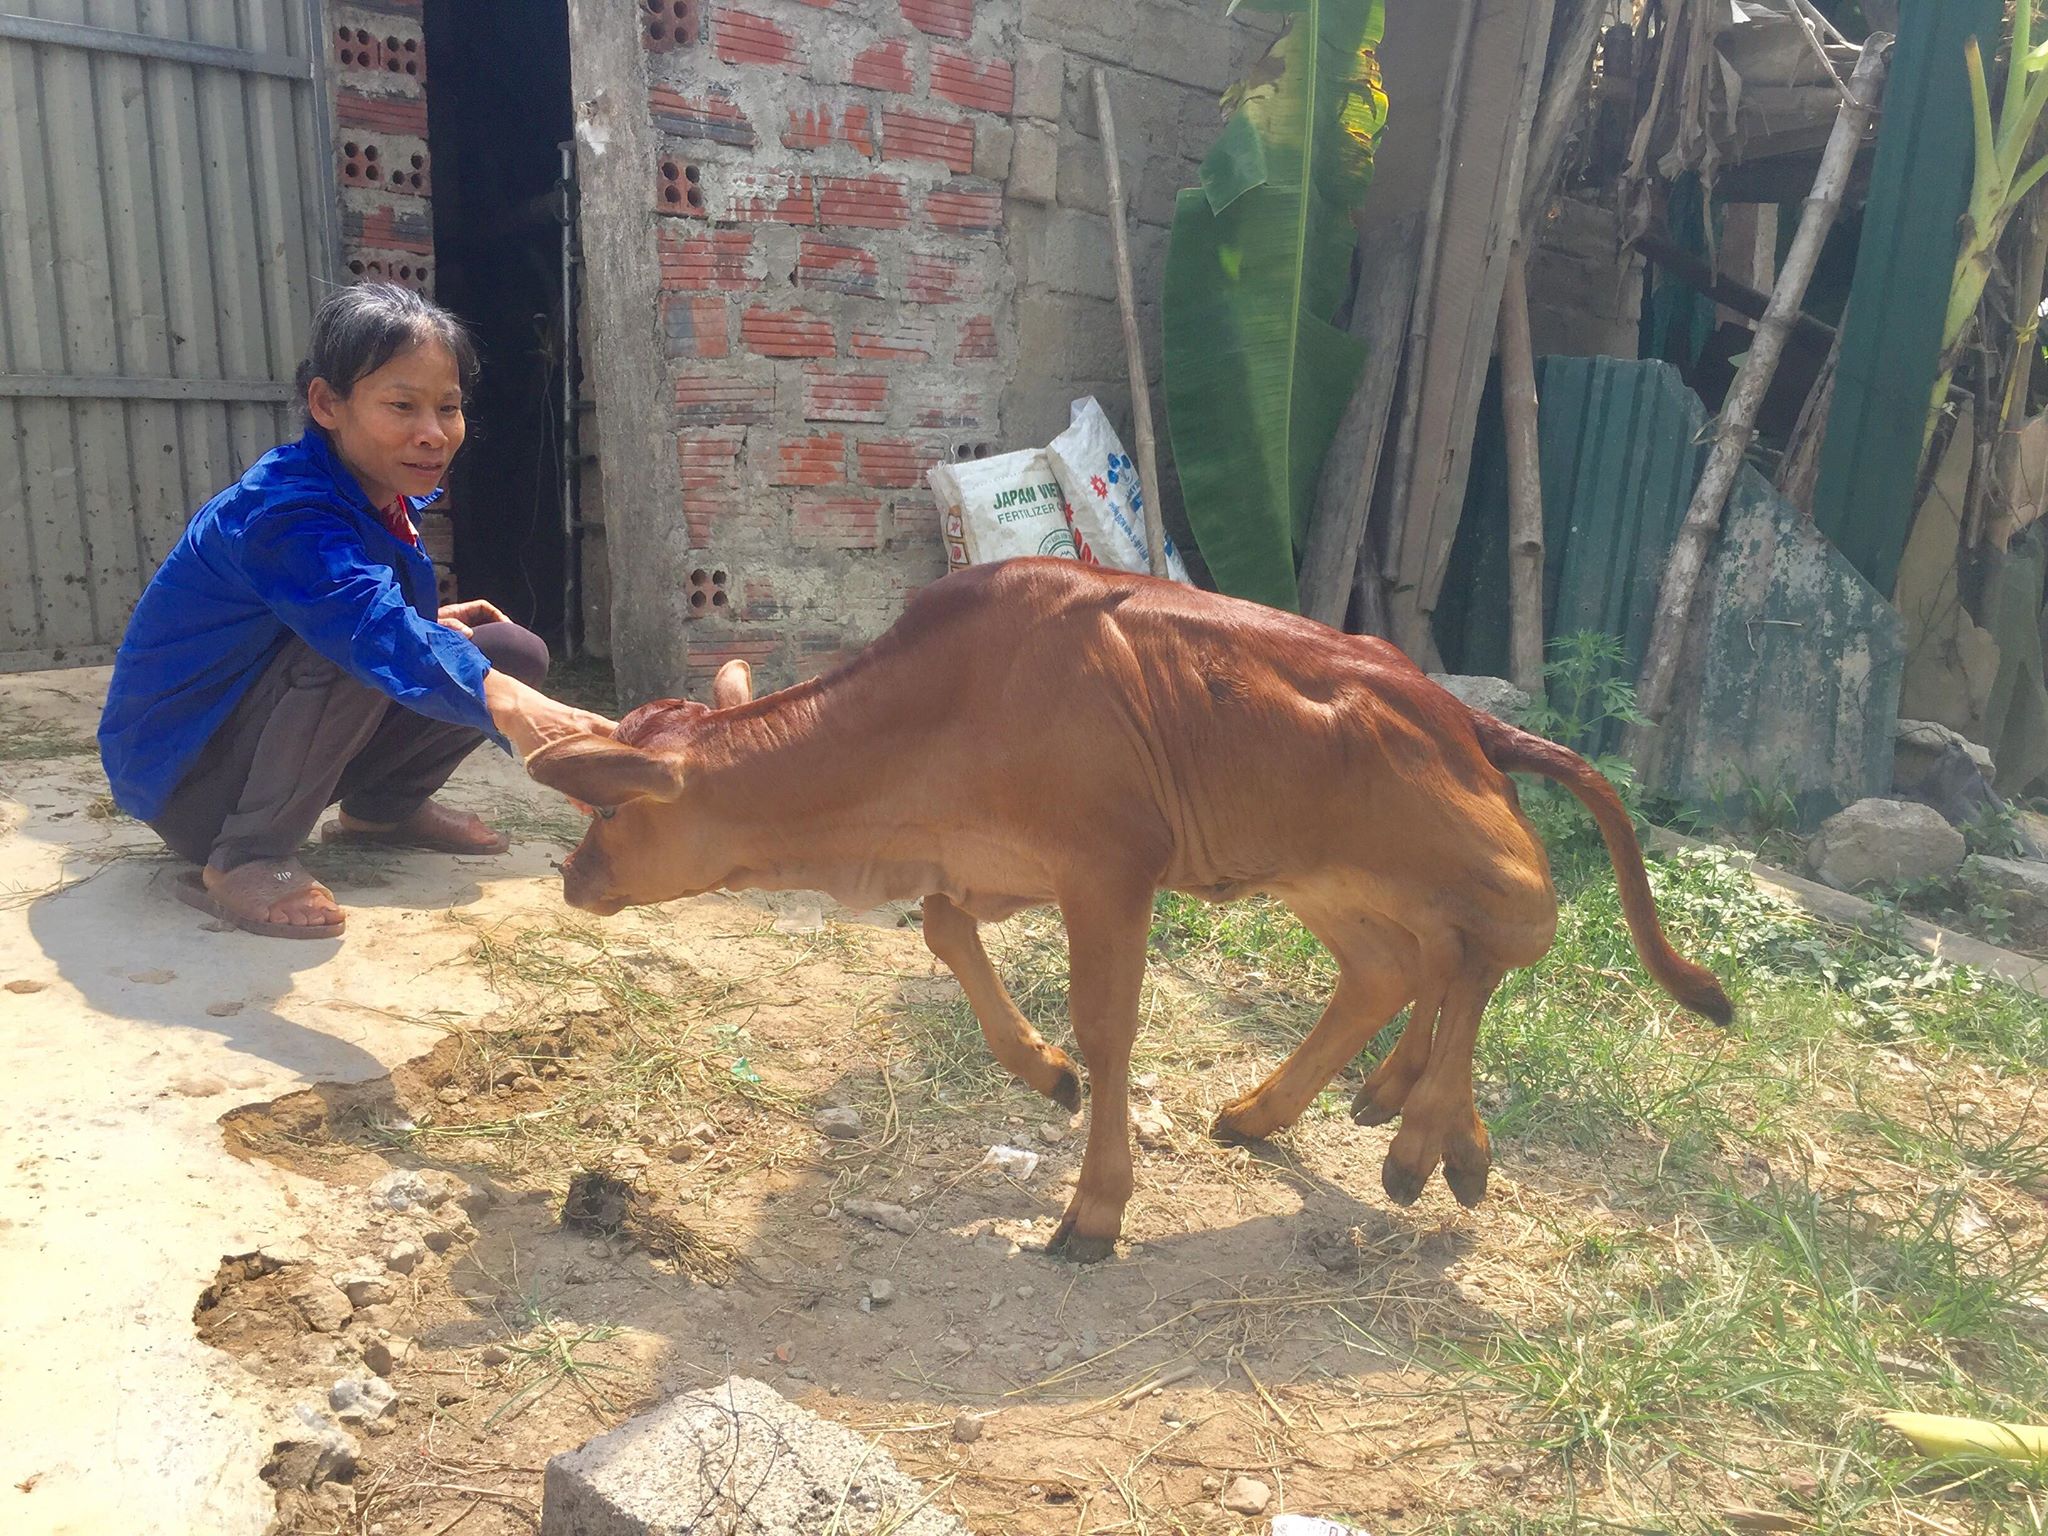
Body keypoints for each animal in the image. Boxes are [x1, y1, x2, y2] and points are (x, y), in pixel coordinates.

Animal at [528, 565, 1728, 1261]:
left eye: (610, 809)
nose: (571, 878)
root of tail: (1457, 712)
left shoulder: (1111, 868)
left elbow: (1111, 1029)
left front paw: (1093, 1209)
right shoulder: (992, 861)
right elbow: (945, 931)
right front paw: (1043, 1072)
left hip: (1457, 854)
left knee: (1501, 937)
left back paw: (1428, 1137)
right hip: (1319, 874)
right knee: (1409, 963)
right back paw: (1320, 1111)